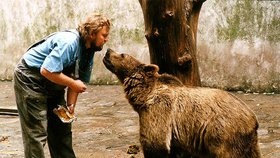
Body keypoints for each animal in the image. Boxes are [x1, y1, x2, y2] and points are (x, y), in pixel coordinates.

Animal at [104, 48, 262, 158]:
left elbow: (155, 143)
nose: (107, 51)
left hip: (223, 133)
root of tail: (253, 119)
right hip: (247, 142)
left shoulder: (158, 111)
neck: (145, 94)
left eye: (122, 54)